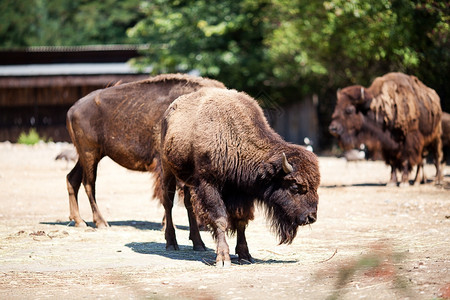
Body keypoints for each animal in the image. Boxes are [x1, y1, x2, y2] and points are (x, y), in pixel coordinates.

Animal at [64, 73, 225, 251]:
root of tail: (72, 109)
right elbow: (168, 195)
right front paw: (167, 227)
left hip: (87, 155)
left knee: (72, 178)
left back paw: (79, 221)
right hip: (90, 154)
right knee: (89, 183)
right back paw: (101, 222)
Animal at [159, 87, 320, 268]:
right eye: (295, 186)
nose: (311, 217)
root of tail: (168, 112)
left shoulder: (242, 192)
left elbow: (241, 221)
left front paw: (245, 255)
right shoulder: (209, 185)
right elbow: (220, 219)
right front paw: (223, 259)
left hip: (188, 180)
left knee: (189, 205)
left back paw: (198, 244)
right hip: (168, 170)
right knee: (168, 202)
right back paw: (171, 243)